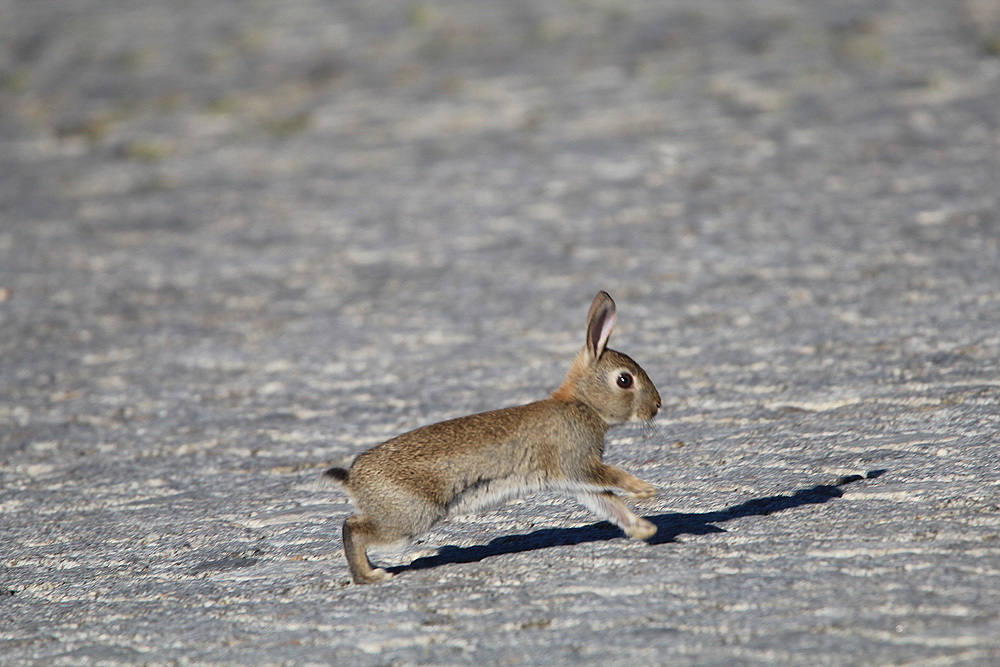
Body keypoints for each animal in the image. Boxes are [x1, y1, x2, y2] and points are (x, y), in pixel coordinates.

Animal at [324, 292, 660, 584]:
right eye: (624, 380)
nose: (657, 406)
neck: (584, 404)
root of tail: (352, 478)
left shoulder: (577, 480)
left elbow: (609, 503)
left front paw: (645, 529)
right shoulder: (577, 463)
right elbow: (614, 478)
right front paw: (645, 491)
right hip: (409, 516)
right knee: (352, 528)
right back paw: (370, 576)